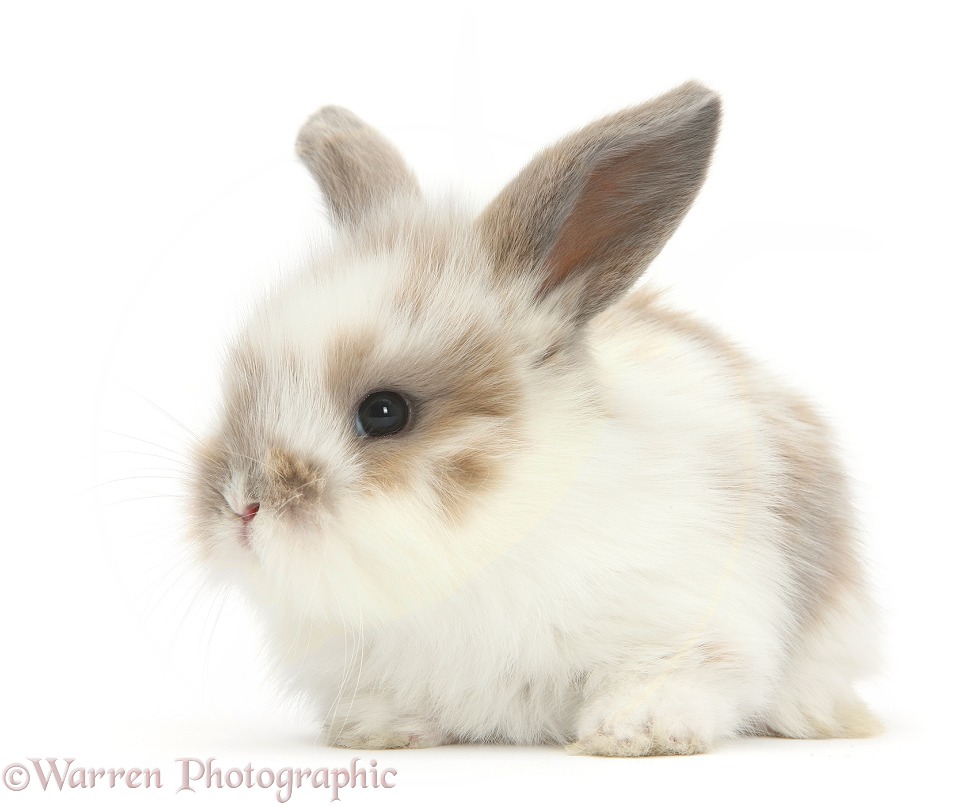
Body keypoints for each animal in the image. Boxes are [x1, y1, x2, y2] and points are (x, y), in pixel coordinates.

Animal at [189, 82, 876, 756]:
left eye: (385, 413)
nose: (242, 507)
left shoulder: (688, 629)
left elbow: (670, 677)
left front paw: (633, 735)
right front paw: (378, 732)